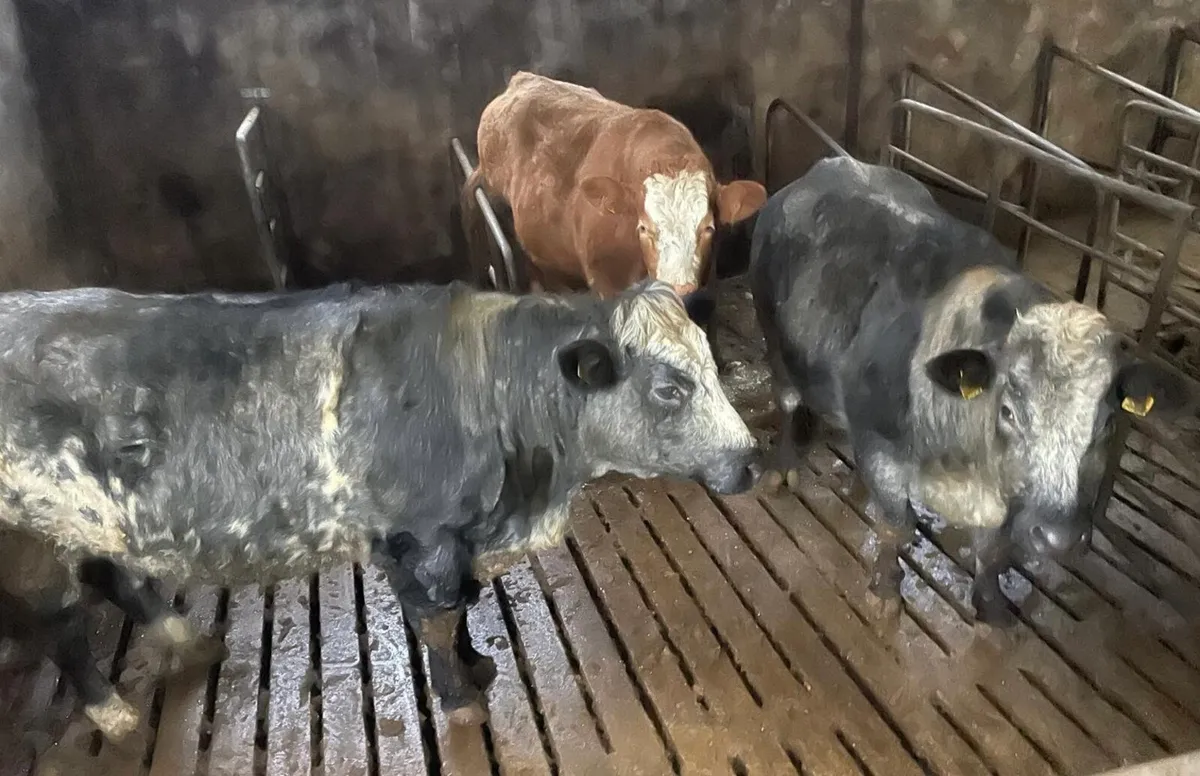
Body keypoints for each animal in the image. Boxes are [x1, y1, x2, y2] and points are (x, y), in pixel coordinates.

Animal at [0, 277, 758, 742]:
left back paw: (188, 640)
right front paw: (462, 701)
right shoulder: (421, 539)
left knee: (113, 577)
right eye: (669, 387)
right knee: (62, 625)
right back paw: (114, 712)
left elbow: (463, 614)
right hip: (31, 540)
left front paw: (478, 666)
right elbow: (439, 621)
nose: (751, 460)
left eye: (715, 366)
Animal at [749, 155, 1193, 626]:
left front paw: (992, 603)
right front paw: (885, 590)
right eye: (1009, 412)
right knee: (788, 401)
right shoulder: (879, 446)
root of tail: (827, 165)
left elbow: (994, 549)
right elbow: (896, 526)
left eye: (1108, 423)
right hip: (774, 340)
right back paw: (781, 465)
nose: (1058, 537)